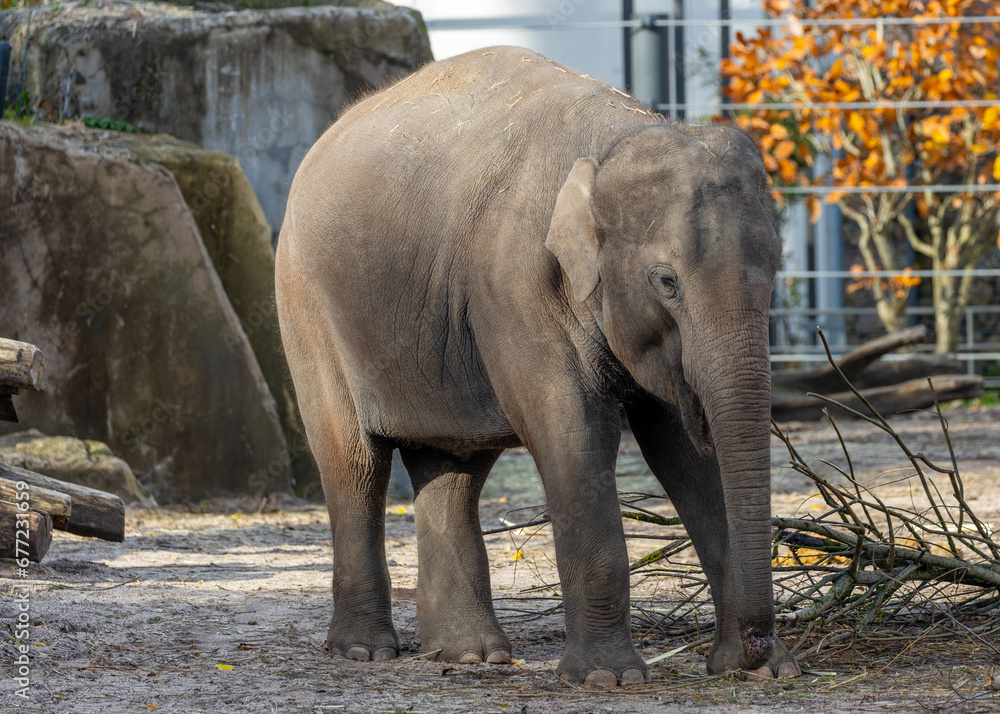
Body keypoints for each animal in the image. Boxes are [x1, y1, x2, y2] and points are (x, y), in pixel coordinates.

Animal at [275, 46, 801, 686]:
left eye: (774, 273)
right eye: (666, 282)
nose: (755, 646)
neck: (612, 140)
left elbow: (681, 450)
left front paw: (762, 672)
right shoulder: (513, 283)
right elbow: (572, 430)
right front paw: (608, 679)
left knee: (454, 469)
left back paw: (470, 655)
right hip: (307, 305)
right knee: (352, 460)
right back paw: (363, 651)